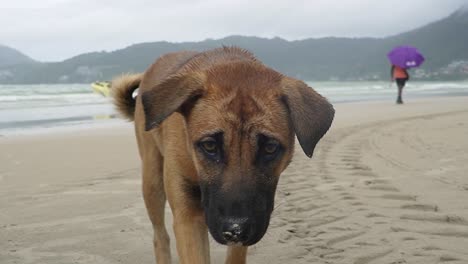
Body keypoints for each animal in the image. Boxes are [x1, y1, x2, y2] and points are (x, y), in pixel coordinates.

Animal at [112, 46, 332, 262]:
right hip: (152, 182)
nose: (236, 230)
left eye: (270, 147)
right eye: (210, 146)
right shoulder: (187, 218)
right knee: (160, 236)